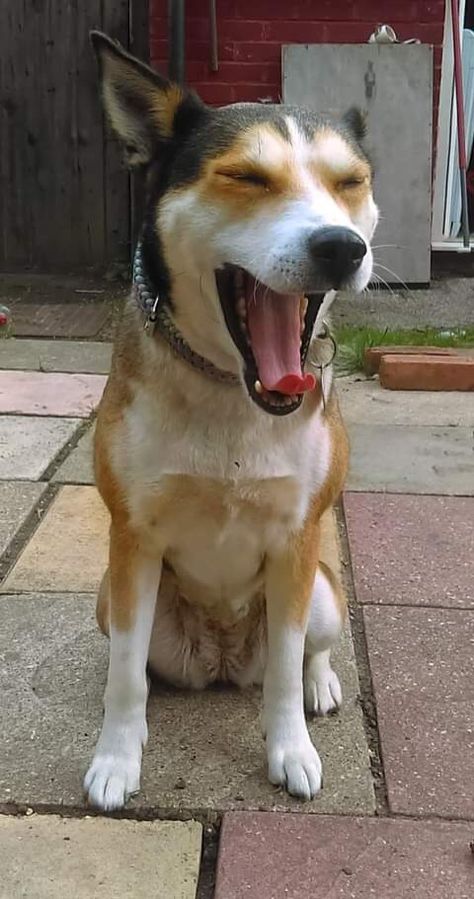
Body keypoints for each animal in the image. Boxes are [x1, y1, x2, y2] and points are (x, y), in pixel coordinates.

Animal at [83, 31, 376, 812]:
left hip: (323, 589)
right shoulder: (133, 536)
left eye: (350, 182)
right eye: (246, 176)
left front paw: (290, 751)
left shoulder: (297, 539)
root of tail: (219, 657)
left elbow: (284, 668)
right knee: (138, 661)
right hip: (113, 598)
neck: (232, 393)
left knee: (306, 648)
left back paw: (320, 685)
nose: (342, 246)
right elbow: (125, 676)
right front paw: (117, 758)